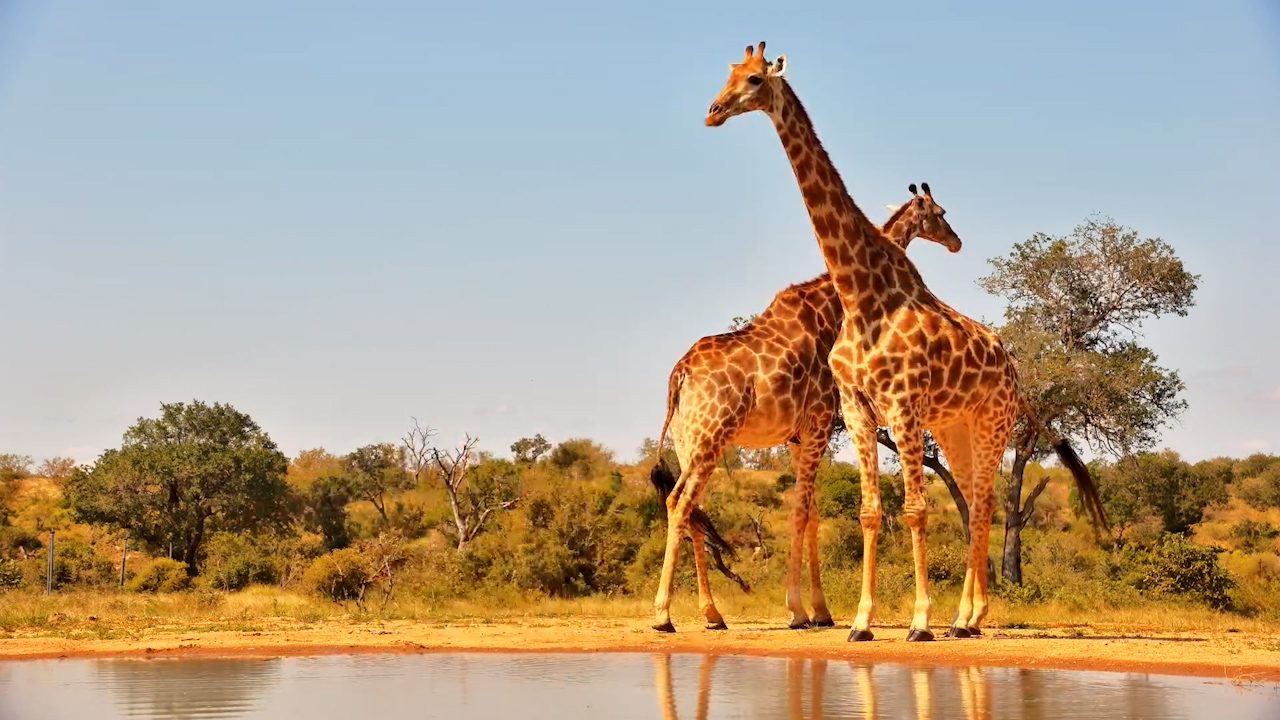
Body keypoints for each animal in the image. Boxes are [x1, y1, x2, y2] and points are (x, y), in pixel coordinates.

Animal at [648, 184, 963, 632]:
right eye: (941, 212)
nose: (956, 241)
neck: (832, 307)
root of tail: (679, 374)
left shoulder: (798, 436)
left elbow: (812, 515)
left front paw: (821, 611)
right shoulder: (819, 422)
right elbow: (799, 514)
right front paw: (798, 611)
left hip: (689, 443)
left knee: (691, 510)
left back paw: (713, 615)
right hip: (711, 437)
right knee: (680, 503)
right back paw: (663, 615)